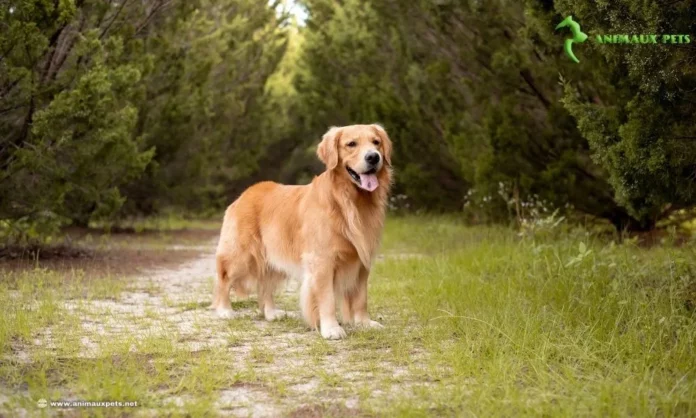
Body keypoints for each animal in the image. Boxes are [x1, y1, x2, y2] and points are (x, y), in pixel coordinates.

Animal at [212, 124, 392, 340]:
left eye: (376, 142)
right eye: (351, 144)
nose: (373, 157)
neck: (348, 201)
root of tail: (246, 193)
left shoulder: (361, 260)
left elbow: (361, 297)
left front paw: (365, 323)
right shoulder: (322, 260)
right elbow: (327, 299)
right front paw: (331, 328)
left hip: (273, 257)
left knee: (265, 285)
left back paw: (271, 313)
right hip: (241, 256)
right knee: (224, 279)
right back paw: (225, 310)